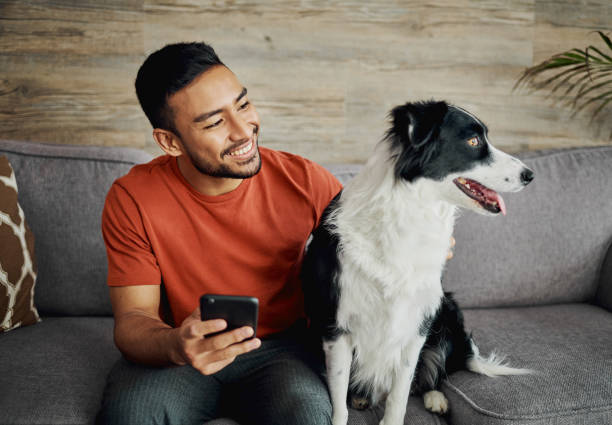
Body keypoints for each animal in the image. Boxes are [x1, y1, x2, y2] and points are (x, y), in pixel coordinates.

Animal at [304, 100, 532, 424]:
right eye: (473, 141)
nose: (529, 174)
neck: (410, 211)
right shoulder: (335, 324)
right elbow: (338, 397)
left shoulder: (416, 322)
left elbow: (400, 391)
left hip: (446, 310)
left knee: (432, 373)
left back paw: (436, 398)